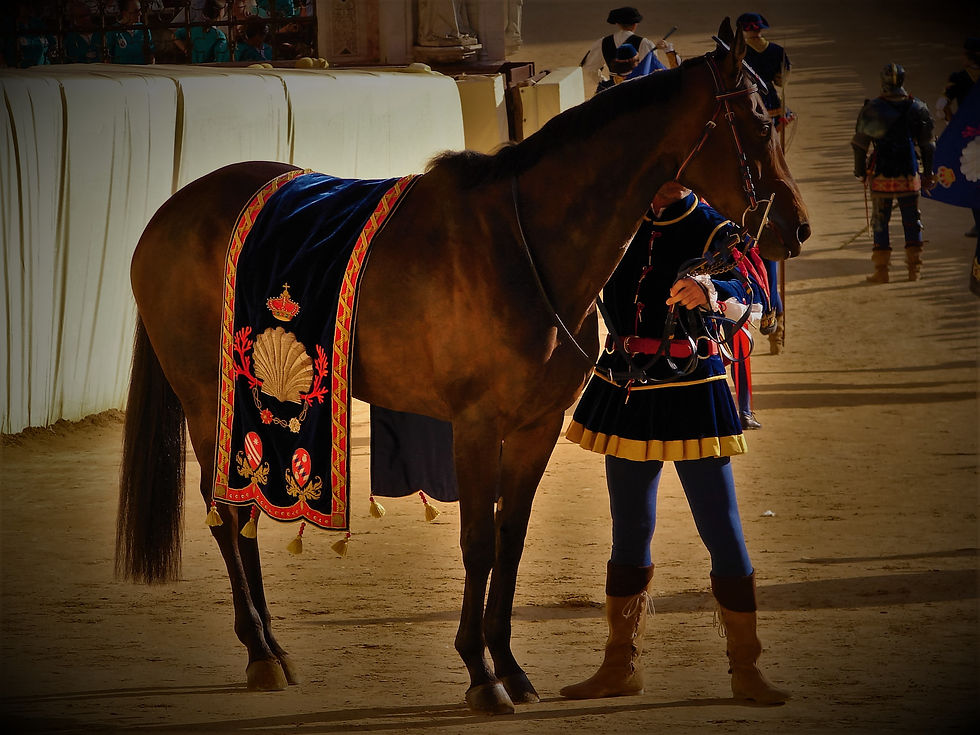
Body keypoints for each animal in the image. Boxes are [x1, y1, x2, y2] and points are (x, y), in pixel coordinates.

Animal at [116, 19, 809, 715]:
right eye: (755, 122)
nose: (796, 228)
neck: (524, 245)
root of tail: (169, 212)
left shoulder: (536, 426)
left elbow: (510, 538)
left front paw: (509, 664)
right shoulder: (476, 424)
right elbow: (477, 542)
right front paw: (481, 673)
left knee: (246, 510)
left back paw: (274, 649)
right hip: (211, 399)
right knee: (229, 512)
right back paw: (260, 651)